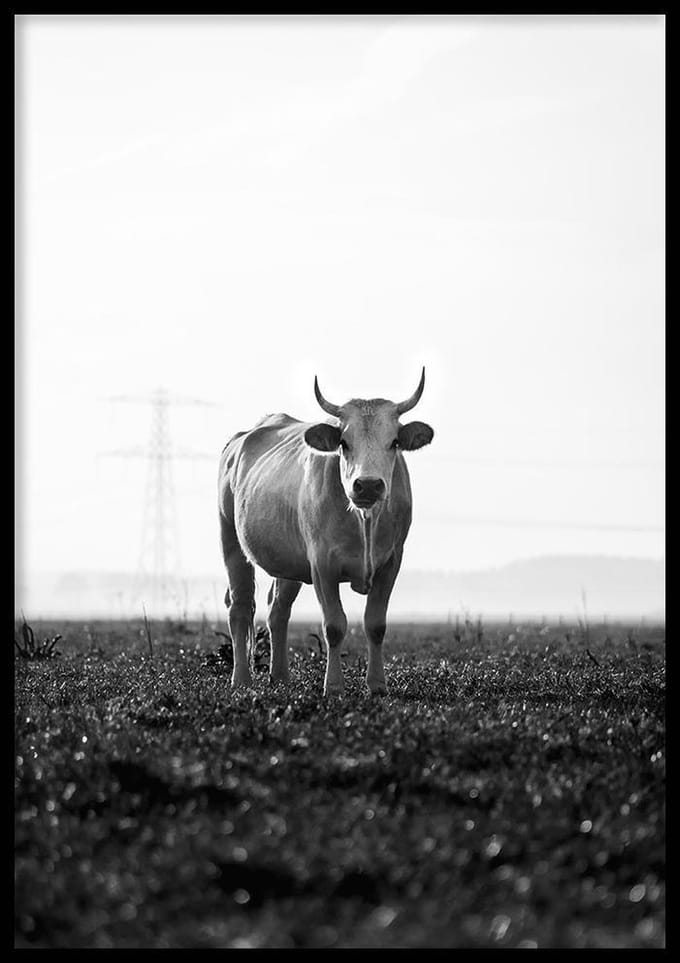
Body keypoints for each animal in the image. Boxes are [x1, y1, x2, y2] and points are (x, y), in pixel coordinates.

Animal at [217, 369, 434, 695]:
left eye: (394, 441)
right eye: (344, 442)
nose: (368, 485)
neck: (363, 520)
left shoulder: (390, 563)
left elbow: (376, 625)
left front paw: (377, 685)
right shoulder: (322, 565)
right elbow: (334, 625)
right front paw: (333, 686)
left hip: (289, 561)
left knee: (278, 610)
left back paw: (280, 676)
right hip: (231, 540)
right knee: (241, 606)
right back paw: (241, 679)